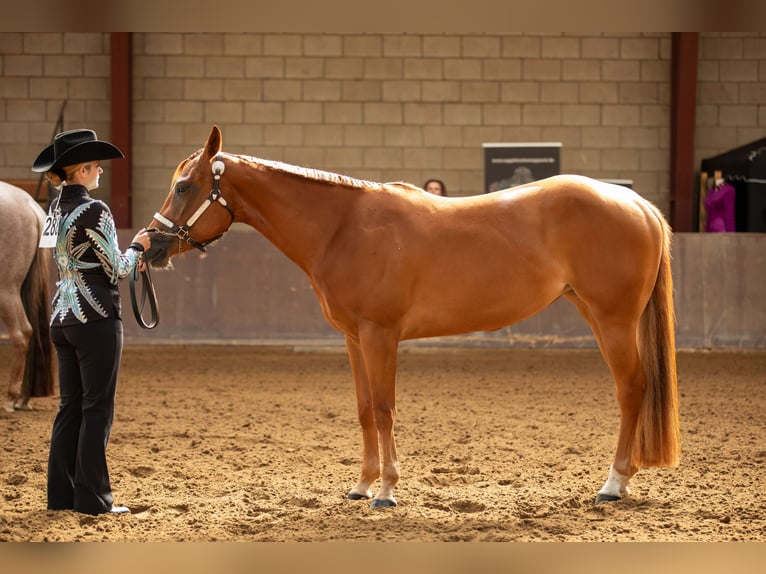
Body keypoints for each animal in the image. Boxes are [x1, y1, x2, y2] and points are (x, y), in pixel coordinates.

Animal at [147, 126, 680, 508]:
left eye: (184, 186)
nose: (146, 245)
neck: (343, 228)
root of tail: (637, 202)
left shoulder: (380, 335)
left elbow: (385, 408)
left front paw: (386, 491)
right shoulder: (354, 339)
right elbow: (365, 409)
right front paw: (361, 486)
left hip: (612, 321)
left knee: (632, 389)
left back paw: (613, 485)